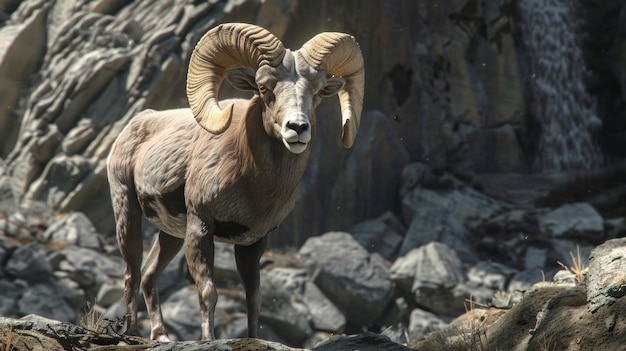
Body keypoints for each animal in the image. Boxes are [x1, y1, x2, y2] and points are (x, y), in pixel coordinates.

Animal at [105, 22, 364, 340]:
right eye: (264, 88)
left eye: (317, 92)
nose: (298, 128)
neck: (256, 185)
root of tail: (135, 125)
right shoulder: (201, 227)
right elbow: (208, 291)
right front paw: (209, 339)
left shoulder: (253, 242)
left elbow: (254, 296)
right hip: (127, 211)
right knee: (132, 274)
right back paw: (132, 334)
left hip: (171, 234)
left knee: (149, 274)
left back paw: (161, 335)